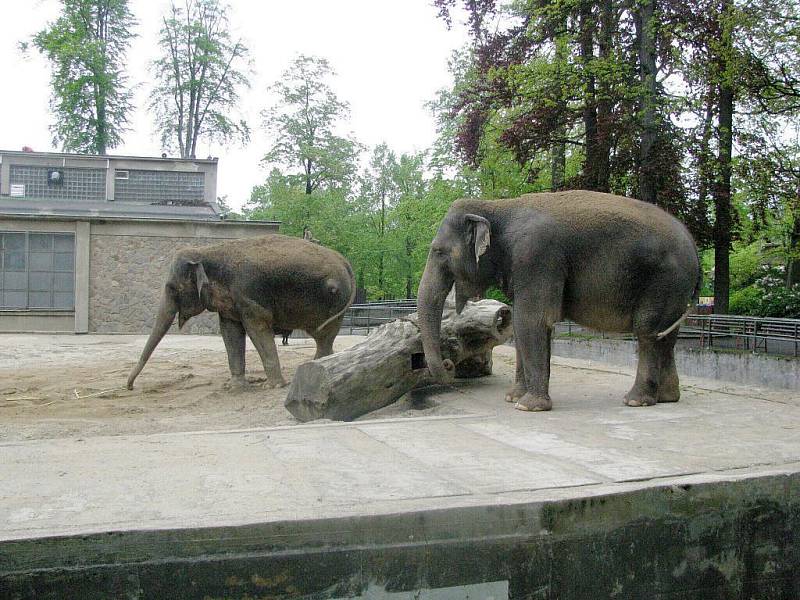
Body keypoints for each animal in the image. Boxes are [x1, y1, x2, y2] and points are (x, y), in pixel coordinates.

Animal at [127, 234, 356, 390]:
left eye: (172, 288)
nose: (130, 387)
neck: (207, 251)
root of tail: (345, 262)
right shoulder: (230, 302)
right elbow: (230, 333)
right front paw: (235, 387)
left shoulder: (248, 294)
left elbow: (257, 329)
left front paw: (272, 386)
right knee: (324, 337)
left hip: (334, 300)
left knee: (323, 336)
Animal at [418, 192, 700, 412]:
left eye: (438, 252)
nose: (449, 364)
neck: (498, 206)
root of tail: (693, 246)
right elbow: (520, 323)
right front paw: (512, 398)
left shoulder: (537, 256)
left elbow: (531, 321)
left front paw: (527, 406)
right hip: (674, 289)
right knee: (667, 337)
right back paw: (666, 398)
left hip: (663, 280)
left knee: (647, 332)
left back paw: (635, 401)